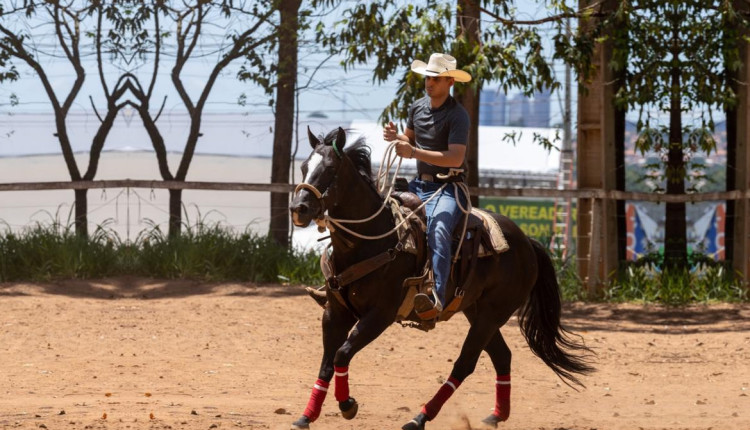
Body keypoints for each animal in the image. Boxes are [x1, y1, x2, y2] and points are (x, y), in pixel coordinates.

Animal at [288, 127, 592, 430]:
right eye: (303, 168)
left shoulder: (380, 315)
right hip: (476, 311)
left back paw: (420, 417)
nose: (298, 208)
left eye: (330, 168)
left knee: (465, 363)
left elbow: (342, 354)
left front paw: (348, 405)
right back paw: (495, 415)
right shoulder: (335, 312)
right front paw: (307, 415)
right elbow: (327, 362)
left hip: (492, 314)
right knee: (501, 356)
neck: (372, 240)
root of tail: (527, 243)